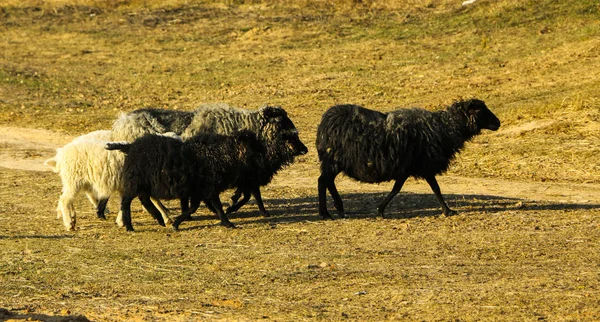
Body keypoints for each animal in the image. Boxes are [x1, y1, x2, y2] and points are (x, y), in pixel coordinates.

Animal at [106, 130, 268, 230]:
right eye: (253, 145)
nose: (265, 156)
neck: (220, 155)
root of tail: (131, 146)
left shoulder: (200, 190)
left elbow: (194, 207)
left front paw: (177, 223)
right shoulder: (209, 187)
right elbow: (217, 206)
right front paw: (227, 223)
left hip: (143, 183)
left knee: (144, 199)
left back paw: (159, 219)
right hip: (135, 180)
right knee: (126, 202)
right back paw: (130, 226)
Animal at [316, 98, 500, 219]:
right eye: (480, 110)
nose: (498, 123)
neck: (444, 128)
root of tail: (325, 121)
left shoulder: (408, 167)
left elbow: (396, 188)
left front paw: (380, 210)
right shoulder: (424, 165)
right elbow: (436, 188)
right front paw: (448, 211)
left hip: (334, 161)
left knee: (327, 181)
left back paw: (338, 208)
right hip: (334, 160)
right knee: (323, 181)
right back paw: (326, 212)